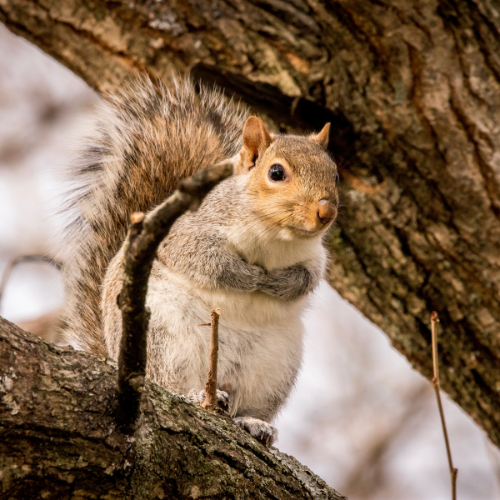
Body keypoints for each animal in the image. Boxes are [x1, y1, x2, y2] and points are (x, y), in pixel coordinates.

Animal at [60, 77, 338, 446]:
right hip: (163, 339)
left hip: (275, 368)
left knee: (246, 406)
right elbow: (205, 260)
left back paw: (254, 423)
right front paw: (250, 277)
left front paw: (278, 283)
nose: (326, 212)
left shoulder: (314, 256)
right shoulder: (185, 233)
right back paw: (195, 395)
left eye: (335, 174)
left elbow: (308, 278)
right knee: (168, 384)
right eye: (276, 172)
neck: (275, 237)